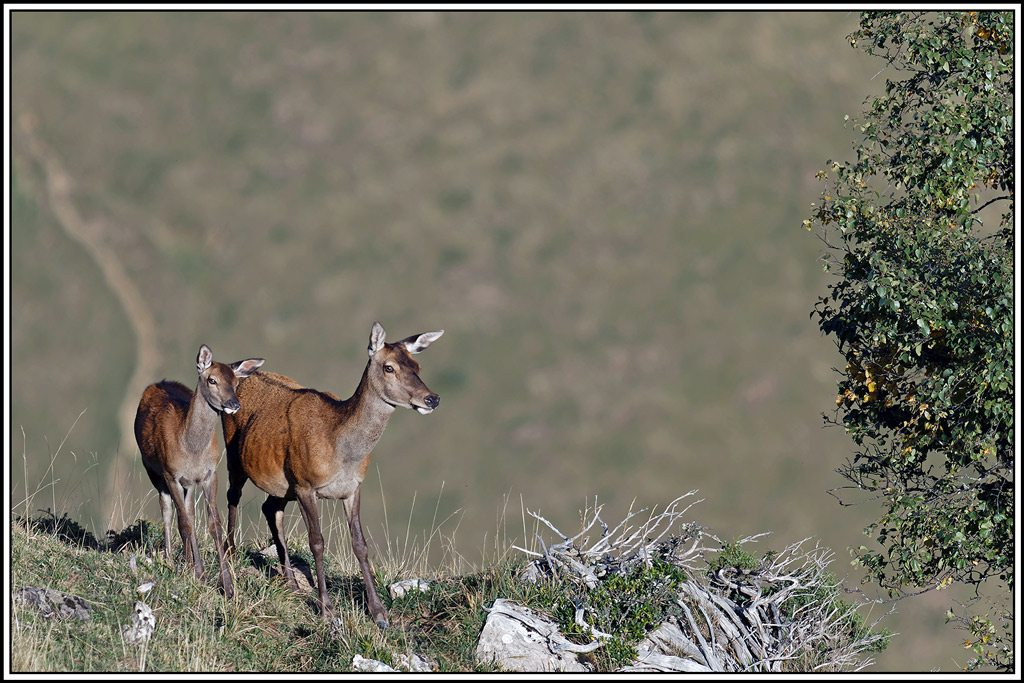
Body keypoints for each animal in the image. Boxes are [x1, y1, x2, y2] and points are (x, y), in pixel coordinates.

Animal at [134, 345, 265, 599]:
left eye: (236, 382)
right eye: (212, 380)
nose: (234, 404)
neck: (192, 451)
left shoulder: (210, 474)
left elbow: (213, 524)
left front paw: (227, 586)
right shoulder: (171, 474)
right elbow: (183, 522)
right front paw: (197, 573)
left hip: (189, 484)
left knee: (188, 513)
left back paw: (190, 564)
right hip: (153, 470)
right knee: (169, 512)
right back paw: (173, 561)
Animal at [223, 321, 443, 627]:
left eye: (417, 365)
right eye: (389, 367)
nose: (431, 398)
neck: (341, 452)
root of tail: (238, 375)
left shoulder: (352, 487)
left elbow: (360, 545)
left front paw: (379, 613)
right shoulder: (305, 484)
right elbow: (317, 543)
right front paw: (327, 610)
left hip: (282, 484)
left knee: (270, 508)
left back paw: (291, 581)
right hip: (235, 453)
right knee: (233, 494)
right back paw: (230, 552)